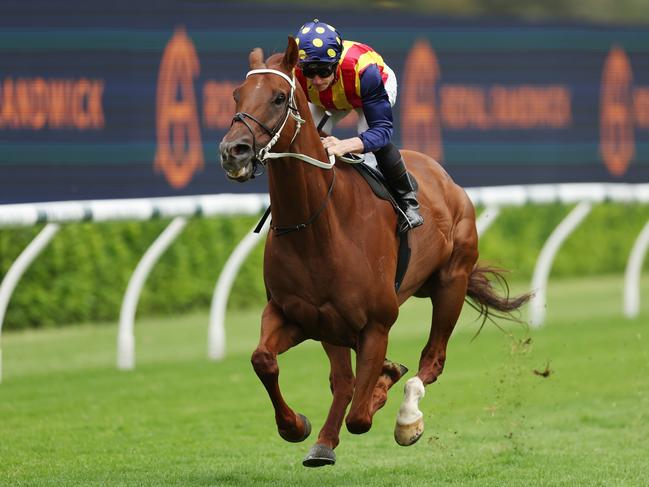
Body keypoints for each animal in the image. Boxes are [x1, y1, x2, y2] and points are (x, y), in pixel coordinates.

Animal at [220, 36, 528, 468]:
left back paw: (407, 416)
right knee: (345, 379)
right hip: (336, 322)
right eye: (237, 94)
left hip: (451, 282)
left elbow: (361, 415)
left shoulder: (377, 323)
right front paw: (296, 426)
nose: (234, 151)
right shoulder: (294, 314)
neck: (316, 226)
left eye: (280, 97)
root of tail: (444, 178)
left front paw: (384, 392)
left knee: (432, 360)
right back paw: (328, 438)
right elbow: (264, 360)